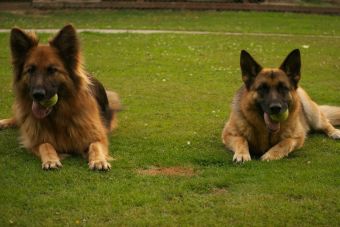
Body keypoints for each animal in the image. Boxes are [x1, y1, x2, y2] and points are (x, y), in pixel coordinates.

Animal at [0, 24, 121, 170]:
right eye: (30, 70)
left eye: (52, 70)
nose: (37, 95)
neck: (58, 116)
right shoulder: (34, 140)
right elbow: (45, 145)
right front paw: (51, 159)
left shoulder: (97, 135)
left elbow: (95, 146)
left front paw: (98, 160)